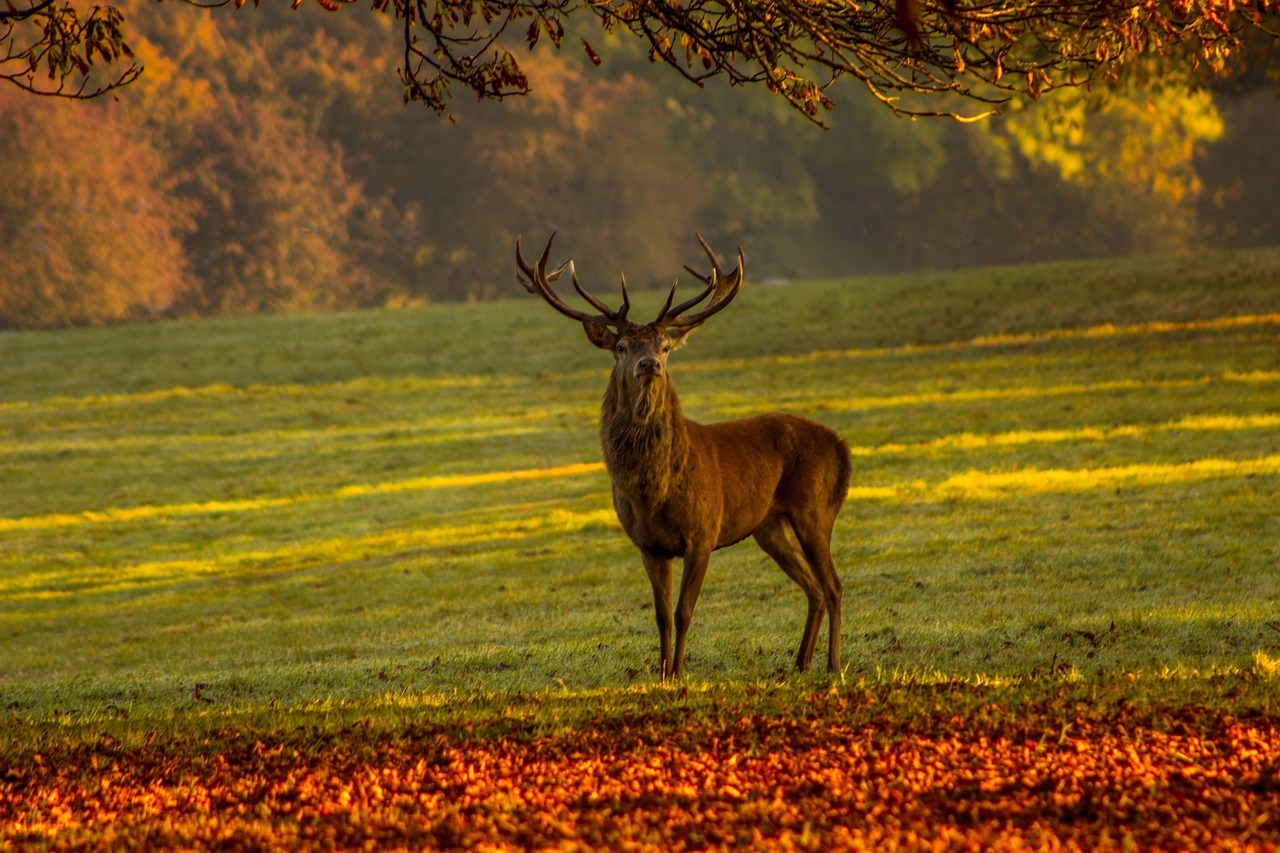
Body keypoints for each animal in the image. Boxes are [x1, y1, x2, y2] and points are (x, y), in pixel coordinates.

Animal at [516, 233, 852, 679]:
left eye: (664, 345)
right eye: (621, 346)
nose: (649, 364)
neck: (654, 491)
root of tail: (842, 448)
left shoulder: (703, 532)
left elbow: (683, 612)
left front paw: (678, 673)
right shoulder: (647, 544)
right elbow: (660, 615)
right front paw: (661, 674)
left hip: (815, 509)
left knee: (833, 585)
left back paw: (833, 663)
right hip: (769, 526)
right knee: (813, 587)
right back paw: (800, 662)